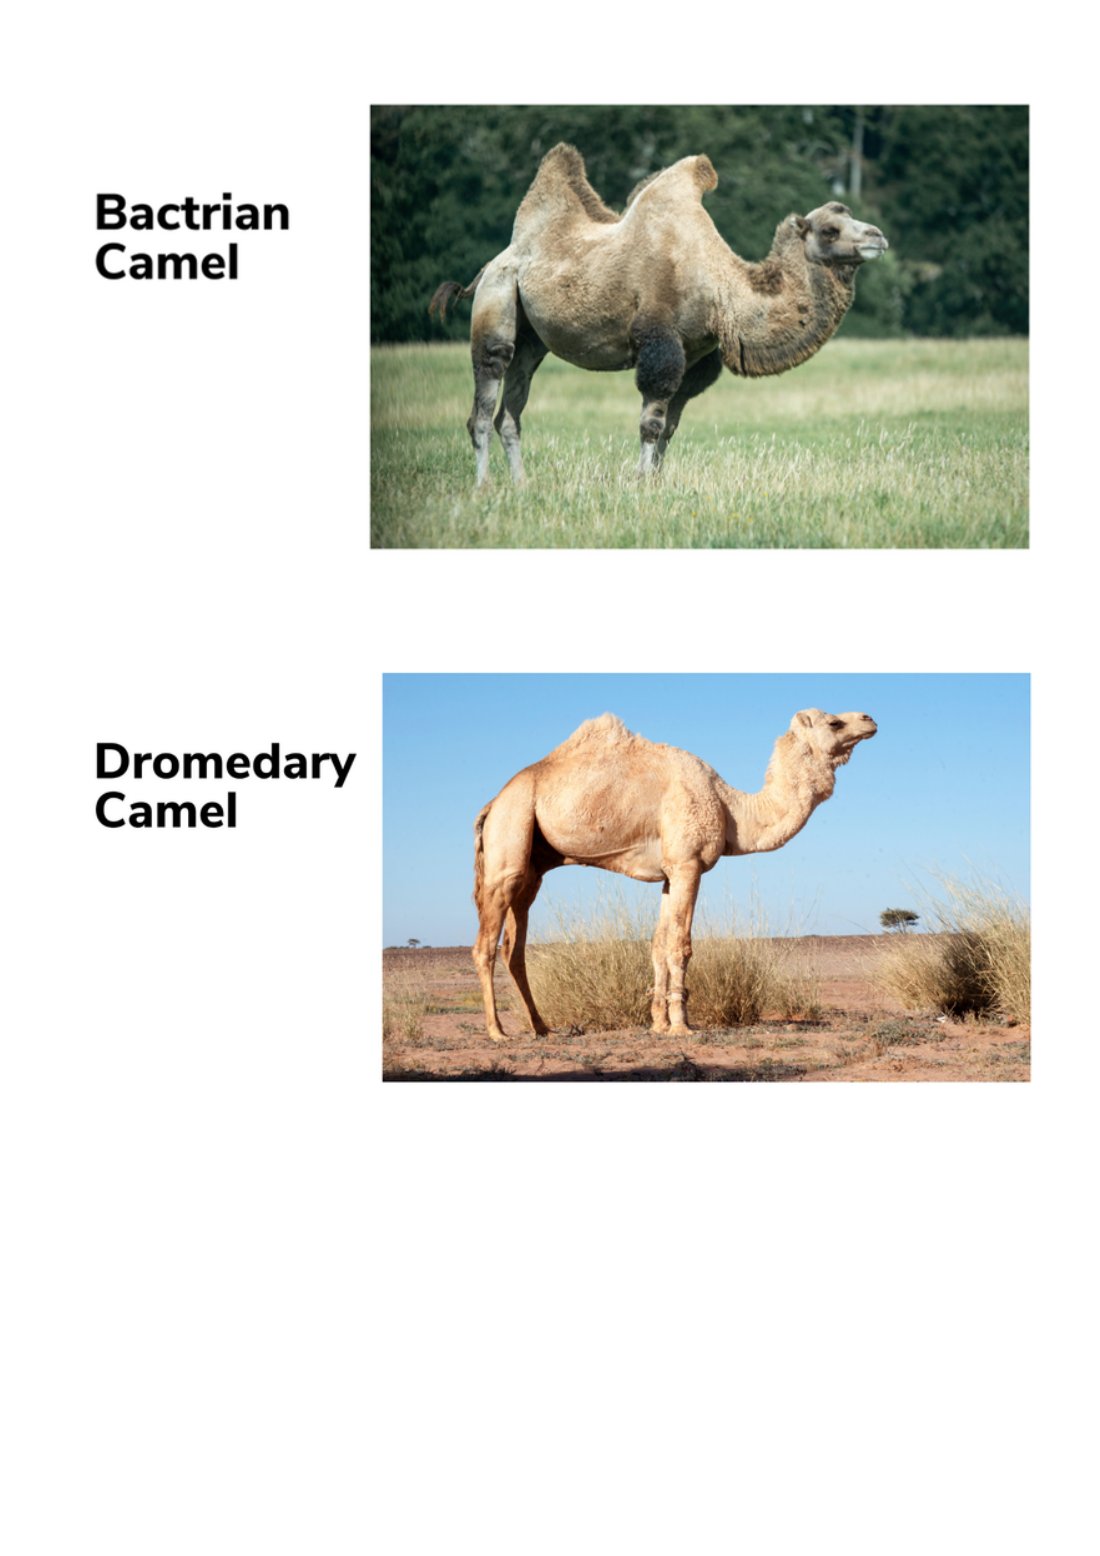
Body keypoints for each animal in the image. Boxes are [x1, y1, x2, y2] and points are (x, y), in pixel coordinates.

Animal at [429, 143, 888, 484]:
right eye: (829, 230)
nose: (879, 237)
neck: (720, 288)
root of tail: (494, 261)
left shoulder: (696, 357)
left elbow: (669, 426)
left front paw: (656, 483)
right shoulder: (659, 342)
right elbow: (650, 422)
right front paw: (639, 483)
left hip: (532, 337)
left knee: (512, 410)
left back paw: (521, 486)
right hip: (497, 298)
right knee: (486, 393)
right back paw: (484, 486)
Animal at [472, 709, 877, 1040]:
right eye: (834, 723)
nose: (870, 719)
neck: (729, 807)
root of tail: (493, 803)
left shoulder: (670, 873)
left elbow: (659, 944)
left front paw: (659, 1023)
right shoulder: (688, 863)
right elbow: (680, 944)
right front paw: (683, 1025)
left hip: (532, 867)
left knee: (514, 947)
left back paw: (541, 1027)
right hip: (510, 837)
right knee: (485, 945)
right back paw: (497, 1032)